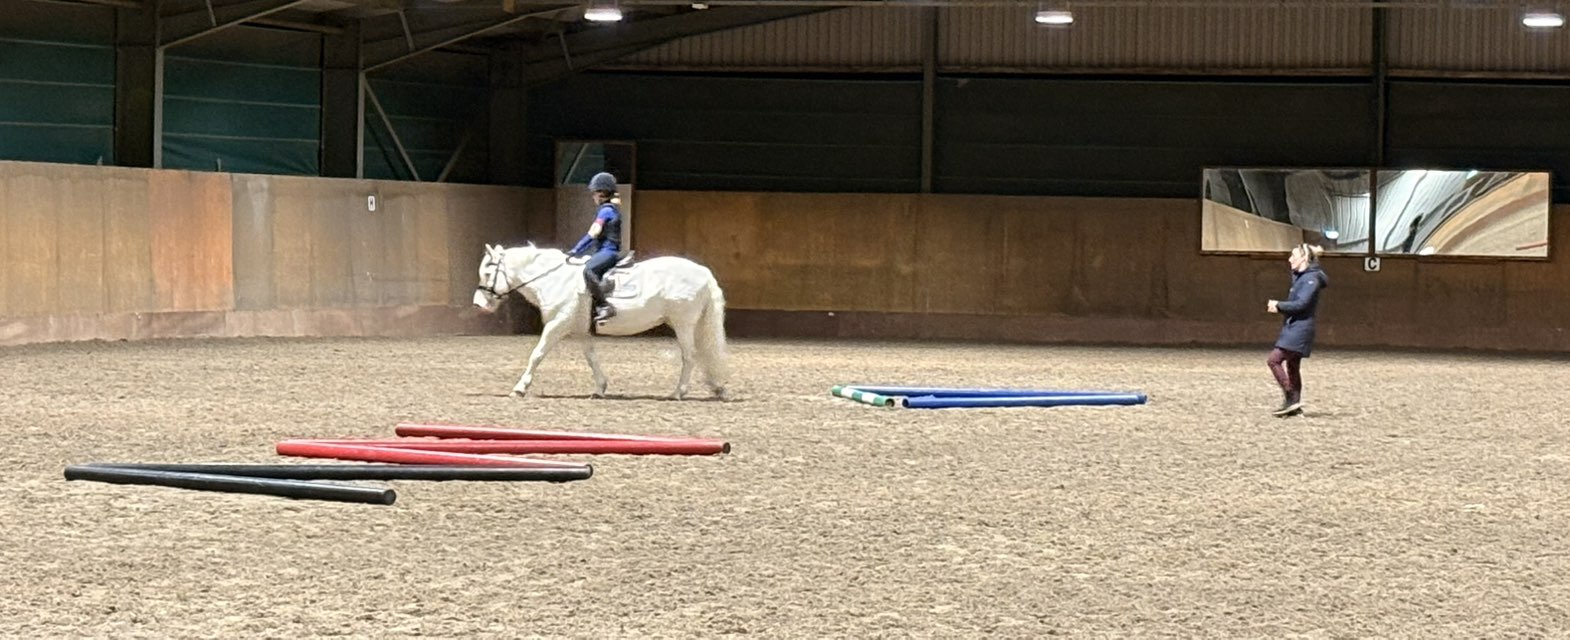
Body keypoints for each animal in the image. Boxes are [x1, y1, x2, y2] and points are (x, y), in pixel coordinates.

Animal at [471, 243, 730, 400]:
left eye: (487, 273)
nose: (479, 305)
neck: (554, 279)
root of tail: (703, 272)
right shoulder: (580, 330)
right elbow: (591, 358)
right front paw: (600, 388)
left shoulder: (558, 324)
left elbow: (537, 354)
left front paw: (519, 388)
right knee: (702, 354)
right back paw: (716, 387)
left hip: (683, 323)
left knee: (689, 356)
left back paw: (678, 392)